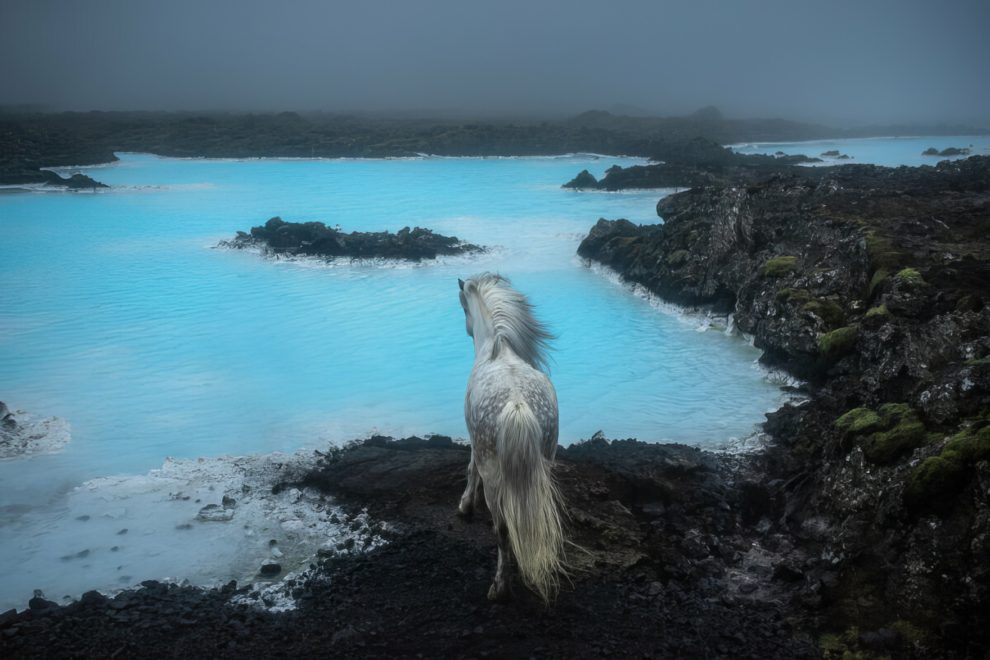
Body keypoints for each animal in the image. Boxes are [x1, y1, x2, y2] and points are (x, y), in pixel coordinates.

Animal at [458, 272, 564, 604]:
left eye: (464, 309)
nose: (467, 328)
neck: (498, 349)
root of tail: (518, 405)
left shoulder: (474, 440)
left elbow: (471, 469)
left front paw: (466, 505)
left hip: (496, 479)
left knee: (503, 530)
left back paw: (500, 587)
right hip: (545, 463)